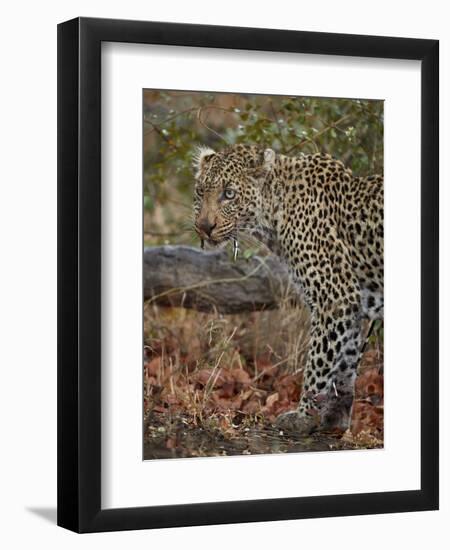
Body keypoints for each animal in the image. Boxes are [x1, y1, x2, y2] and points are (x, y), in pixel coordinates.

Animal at [193, 144, 384, 438]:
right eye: (201, 192)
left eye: (229, 194)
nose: (204, 227)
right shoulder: (353, 302)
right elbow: (345, 362)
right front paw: (335, 418)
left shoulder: (335, 297)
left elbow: (319, 360)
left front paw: (303, 417)